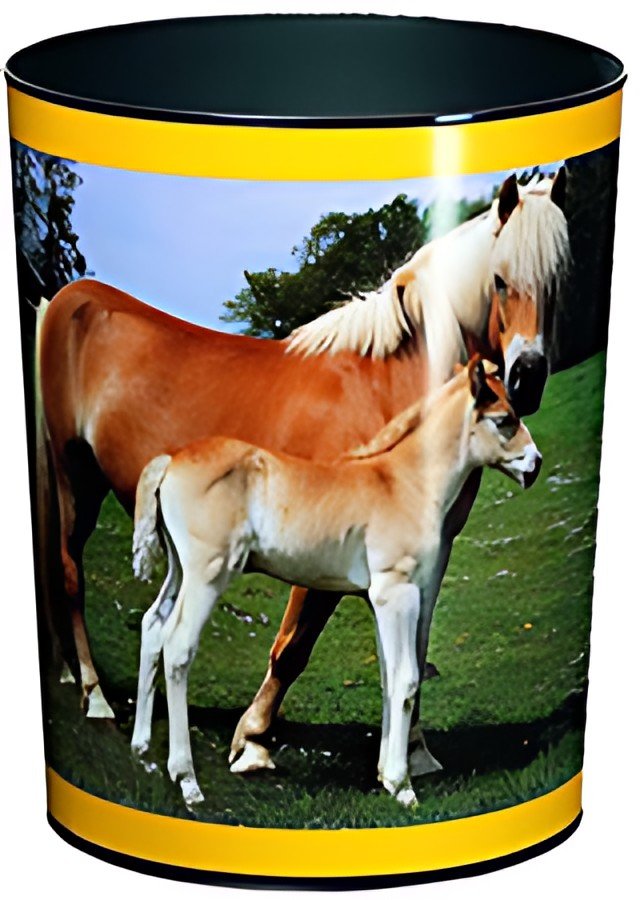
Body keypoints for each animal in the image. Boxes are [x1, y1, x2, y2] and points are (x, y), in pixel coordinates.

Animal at [35, 169, 567, 742]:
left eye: (557, 279)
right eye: (500, 280)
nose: (527, 379)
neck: (386, 388)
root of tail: (66, 299)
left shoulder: (426, 553)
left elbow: (410, 652)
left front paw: (414, 751)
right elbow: (294, 647)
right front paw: (251, 736)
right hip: (74, 477)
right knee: (69, 572)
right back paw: (94, 695)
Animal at [130, 358, 541, 807]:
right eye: (504, 420)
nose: (535, 464)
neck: (403, 484)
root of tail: (170, 460)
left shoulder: (381, 601)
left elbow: (388, 677)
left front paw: (385, 775)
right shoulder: (398, 593)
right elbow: (407, 678)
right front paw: (402, 785)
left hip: (179, 570)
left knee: (152, 626)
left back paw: (141, 750)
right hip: (208, 573)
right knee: (177, 648)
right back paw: (187, 780)